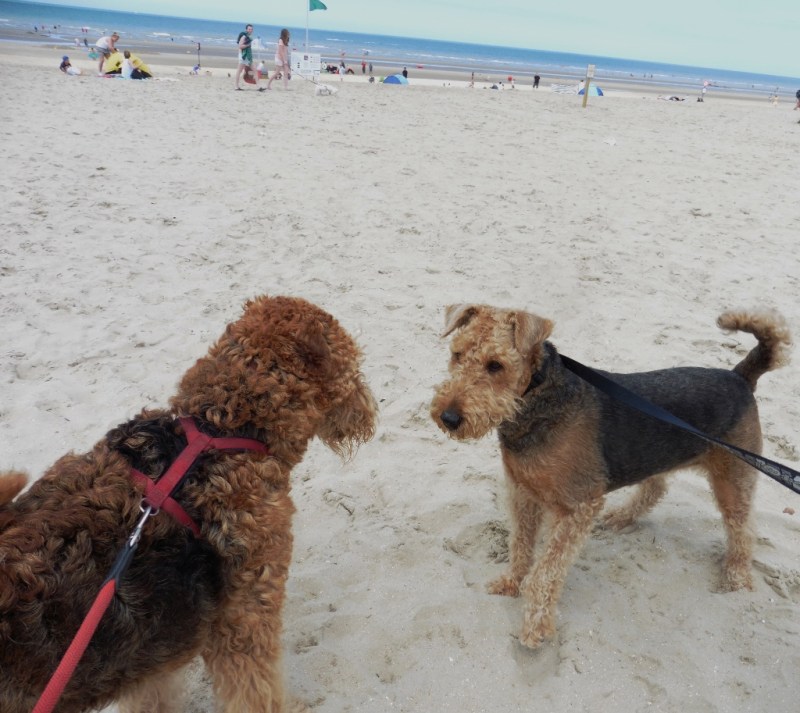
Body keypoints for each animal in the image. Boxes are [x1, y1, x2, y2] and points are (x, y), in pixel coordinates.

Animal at [0, 295, 377, 713]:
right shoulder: (245, 622)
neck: (224, 431)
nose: (369, 412)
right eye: (352, 363)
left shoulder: (149, 655)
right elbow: (256, 691)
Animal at [430, 304, 790, 649]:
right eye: (457, 354)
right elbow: (520, 547)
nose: (448, 417)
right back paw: (621, 517)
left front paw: (536, 628)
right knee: (656, 486)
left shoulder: (578, 506)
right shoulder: (523, 493)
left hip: (733, 478)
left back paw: (737, 578)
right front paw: (509, 582)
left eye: (495, 365)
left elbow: (544, 572)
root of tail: (739, 377)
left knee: (742, 529)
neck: (535, 398)